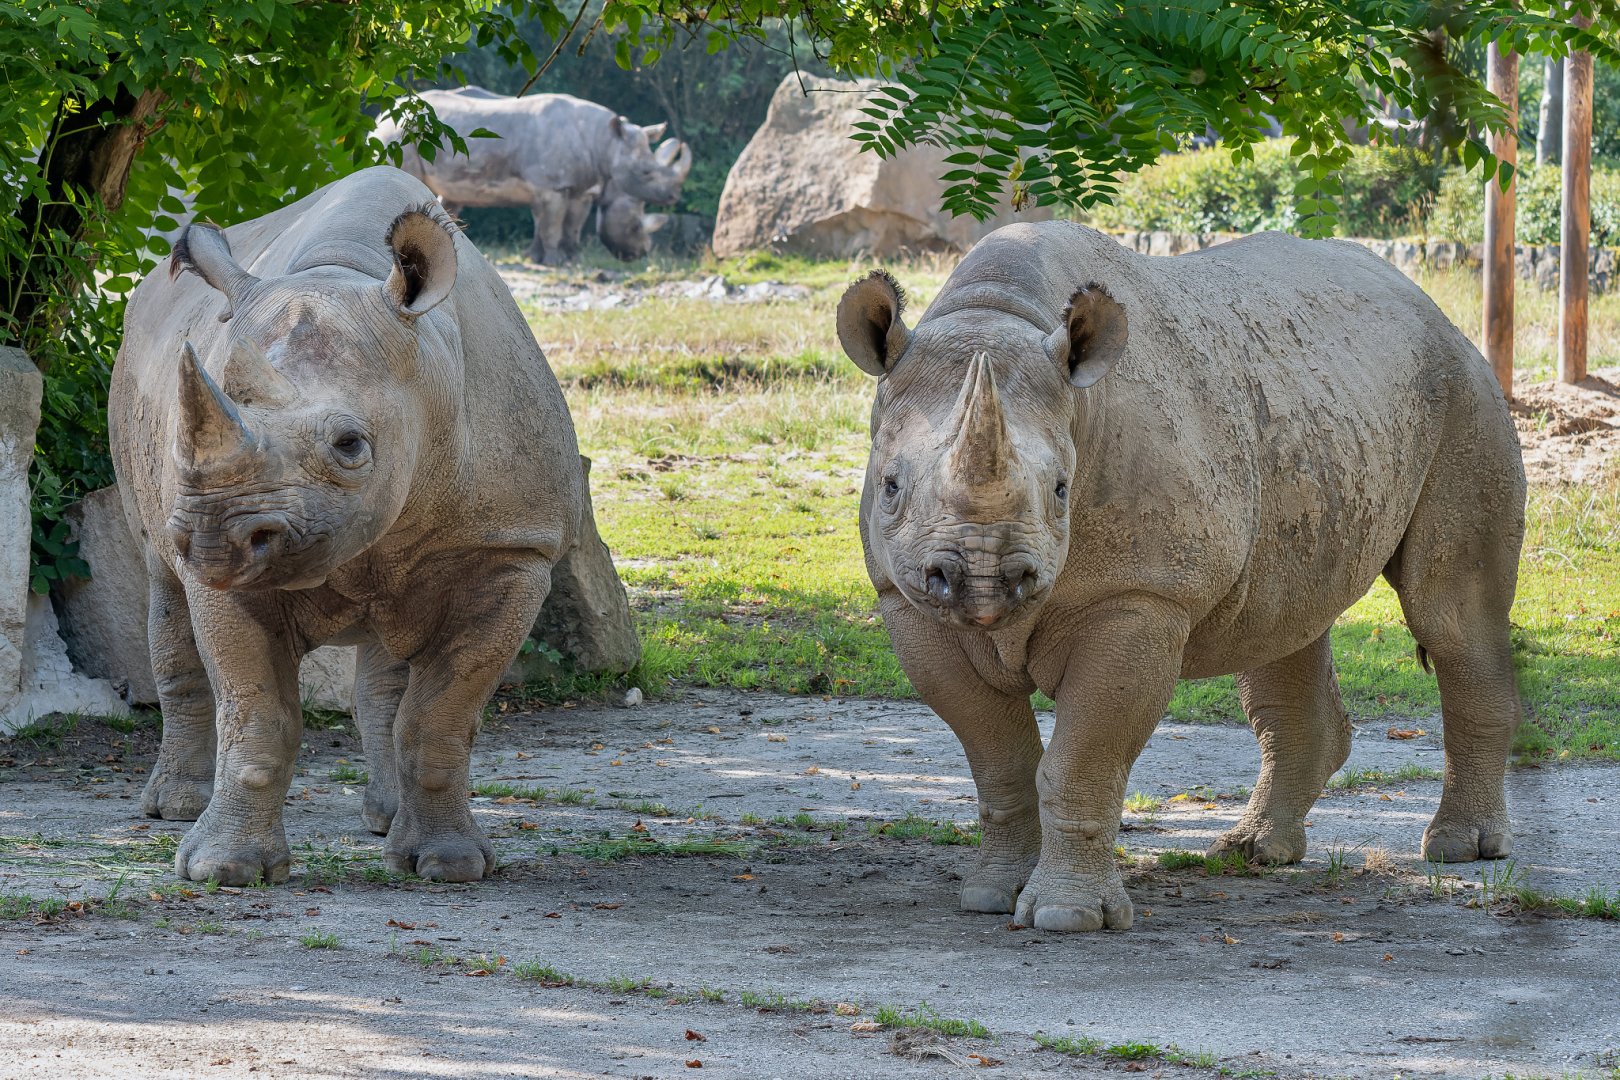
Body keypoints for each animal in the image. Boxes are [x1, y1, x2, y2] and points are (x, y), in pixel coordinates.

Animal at [108, 166, 583, 885]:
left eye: (351, 445)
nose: (218, 537)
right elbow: (257, 713)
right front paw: (222, 869)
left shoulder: (512, 550)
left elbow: (441, 714)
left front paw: (449, 865)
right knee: (163, 581)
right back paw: (173, 808)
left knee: (389, 671)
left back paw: (386, 819)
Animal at [383, 88, 691, 264]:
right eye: (646, 173)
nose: (641, 255)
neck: (606, 143)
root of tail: (385, 113)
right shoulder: (552, 186)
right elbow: (552, 225)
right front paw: (554, 262)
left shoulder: (574, 188)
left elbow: (562, 225)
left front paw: (563, 259)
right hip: (398, 137)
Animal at [837, 221, 1525, 932]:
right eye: (890, 487)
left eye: (1061, 490)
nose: (983, 579)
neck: (999, 315)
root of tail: (1427, 305)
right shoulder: (907, 599)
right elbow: (999, 760)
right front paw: (991, 895)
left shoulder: (1140, 594)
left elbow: (1081, 761)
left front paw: (1067, 916)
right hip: (1321, 406)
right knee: (1282, 622)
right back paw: (1253, 851)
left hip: (1461, 392)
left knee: (1450, 616)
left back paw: (1460, 849)